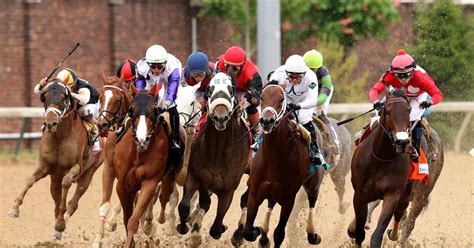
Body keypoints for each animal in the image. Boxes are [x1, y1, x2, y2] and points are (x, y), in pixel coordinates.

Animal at [7, 79, 104, 240]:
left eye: (63, 98)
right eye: (44, 97)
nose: (50, 123)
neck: (60, 136)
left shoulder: (76, 166)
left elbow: (66, 184)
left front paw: (60, 224)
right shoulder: (44, 164)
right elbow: (29, 180)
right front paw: (14, 208)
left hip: (90, 172)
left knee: (73, 202)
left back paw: (60, 225)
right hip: (54, 178)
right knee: (56, 200)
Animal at [114, 84, 179, 247]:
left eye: (154, 108)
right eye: (132, 108)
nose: (141, 139)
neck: (139, 154)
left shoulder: (150, 182)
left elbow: (133, 220)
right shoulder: (122, 184)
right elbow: (126, 218)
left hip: (169, 180)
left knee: (164, 197)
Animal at [177, 71, 252, 246]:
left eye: (231, 90)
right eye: (209, 90)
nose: (220, 117)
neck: (218, 151)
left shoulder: (228, 188)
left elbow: (216, 228)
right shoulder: (195, 175)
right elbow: (185, 205)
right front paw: (186, 226)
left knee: (246, 199)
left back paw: (239, 233)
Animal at [232, 84, 326, 248]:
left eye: (282, 99)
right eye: (261, 97)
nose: (267, 120)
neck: (275, 159)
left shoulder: (288, 199)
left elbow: (279, 233)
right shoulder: (255, 192)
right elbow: (248, 231)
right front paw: (256, 231)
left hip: (313, 183)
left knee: (312, 201)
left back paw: (312, 234)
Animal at [346, 89, 412, 248]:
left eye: (409, 110)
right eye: (387, 111)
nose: (402, 142)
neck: (382, 158)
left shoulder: (392, 195)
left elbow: (377, 235)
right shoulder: (359, 194)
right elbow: (359, 233)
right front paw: (355, 230)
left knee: (400, 211)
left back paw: (394, 234)